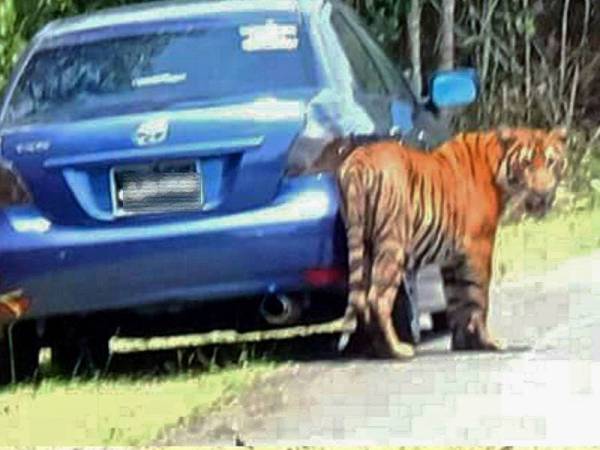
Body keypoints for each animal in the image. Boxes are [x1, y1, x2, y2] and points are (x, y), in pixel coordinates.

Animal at [338, 126, 568, 358]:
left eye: (550, 162)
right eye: (526, 163)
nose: (542, 193)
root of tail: (359, 158)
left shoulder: (453, 257)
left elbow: (457, 300)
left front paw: (463, 343)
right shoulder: (479, 246)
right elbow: (478, 297)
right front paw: (488, 342)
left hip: (364, 245)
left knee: (362, 300)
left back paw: (373, 349)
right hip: (391, 245)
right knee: (377, 298)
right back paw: (396, 350)